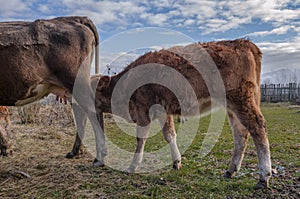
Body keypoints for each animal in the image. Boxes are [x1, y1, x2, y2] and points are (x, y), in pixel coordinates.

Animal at [0, 15, 107, 165]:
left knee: (92, 112)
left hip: (77, 83)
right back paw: (75, 152)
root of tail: (75, 19)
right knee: (81, 115)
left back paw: (99, 157)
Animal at [69, 38, 272, 188]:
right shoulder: (162, 111)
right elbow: (169, 135)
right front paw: (176, 162)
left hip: (241, 99)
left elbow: (141, 139)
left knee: (257, 128)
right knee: (241, 133)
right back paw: (231, 170)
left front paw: (134, 164)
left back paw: (263, 176)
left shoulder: (143, 110)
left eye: (89, 88)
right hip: (233, 105)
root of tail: (244, 42)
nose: (75, 101)